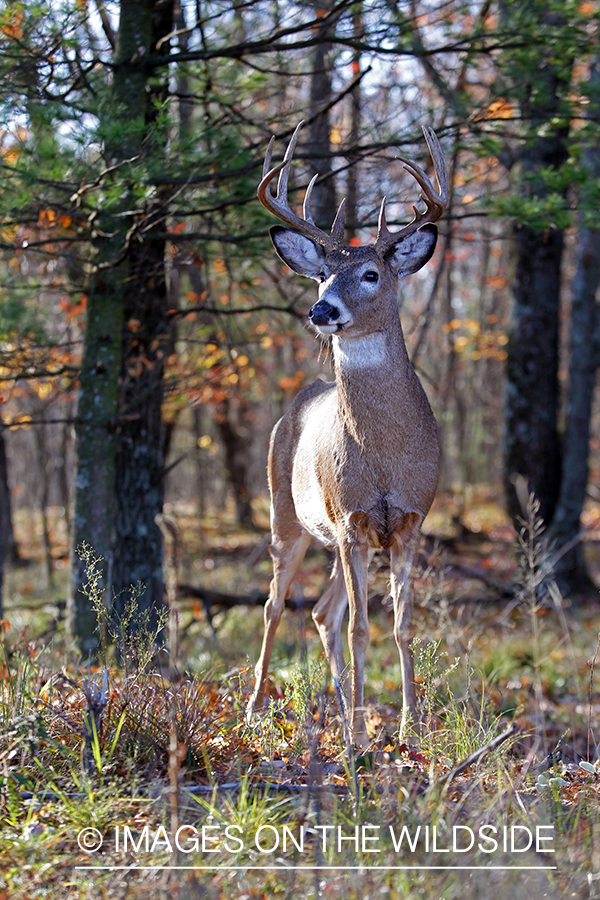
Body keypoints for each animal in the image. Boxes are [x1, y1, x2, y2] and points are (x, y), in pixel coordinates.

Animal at [246, 123, 448, 748]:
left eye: (371, 273)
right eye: (320, 274)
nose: (322, 309)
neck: (383, 458)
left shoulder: (408, 522)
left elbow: (403, 625)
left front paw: (409, 729)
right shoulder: (352, 522)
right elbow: (363, 628)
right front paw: (362, 737)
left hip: (330, 538)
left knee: (321, 612)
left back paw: (340, 707)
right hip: (287, 515)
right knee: (276, 605)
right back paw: (258, 710)